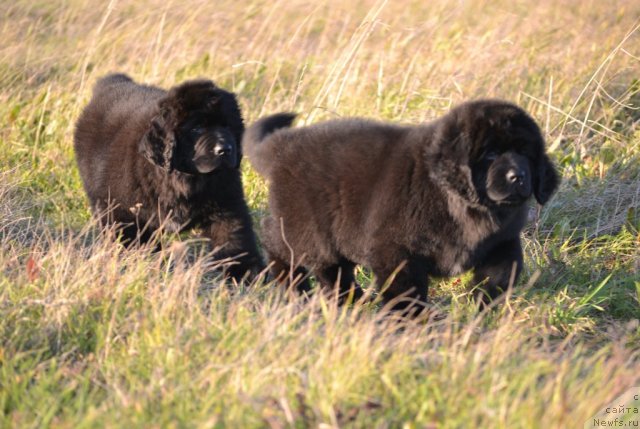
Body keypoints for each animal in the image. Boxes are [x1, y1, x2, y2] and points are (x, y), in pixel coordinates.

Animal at [74, 73, 264, 280]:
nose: (225, 150)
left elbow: (234, 237)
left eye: (227, 126)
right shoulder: (123, 210)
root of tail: (113, 82)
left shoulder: (227, 204)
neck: (185, 178)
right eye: (196, 129)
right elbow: (133, 240)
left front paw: (246, 273)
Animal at [248, 100, 556, 310]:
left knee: (333, 269)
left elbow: (502, 272)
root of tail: (283, 144)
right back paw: (295, 288)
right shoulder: (396, 250)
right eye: (491, 154)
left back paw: (350, 300)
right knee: (277, 244)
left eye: (527, 155)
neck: (465, 206)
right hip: (303, 227)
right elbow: (404, 289)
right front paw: (413, 321)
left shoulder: (502, 242)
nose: (518, 176)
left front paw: (482, 303)